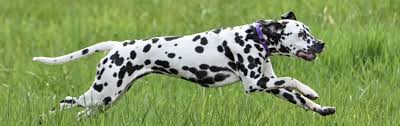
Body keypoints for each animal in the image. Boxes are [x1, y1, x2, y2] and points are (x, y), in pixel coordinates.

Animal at [33, 11, 334, 117]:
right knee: (64, 102)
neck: (254, 38)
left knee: (79, 112)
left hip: (107, 99)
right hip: (101, 94)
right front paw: (312, 90)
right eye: (301, 34)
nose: (321, 44)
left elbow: (299, 98)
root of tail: (117, 46)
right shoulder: (255, 83)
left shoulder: (270, 85)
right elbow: (294, 80)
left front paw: (322, 108)